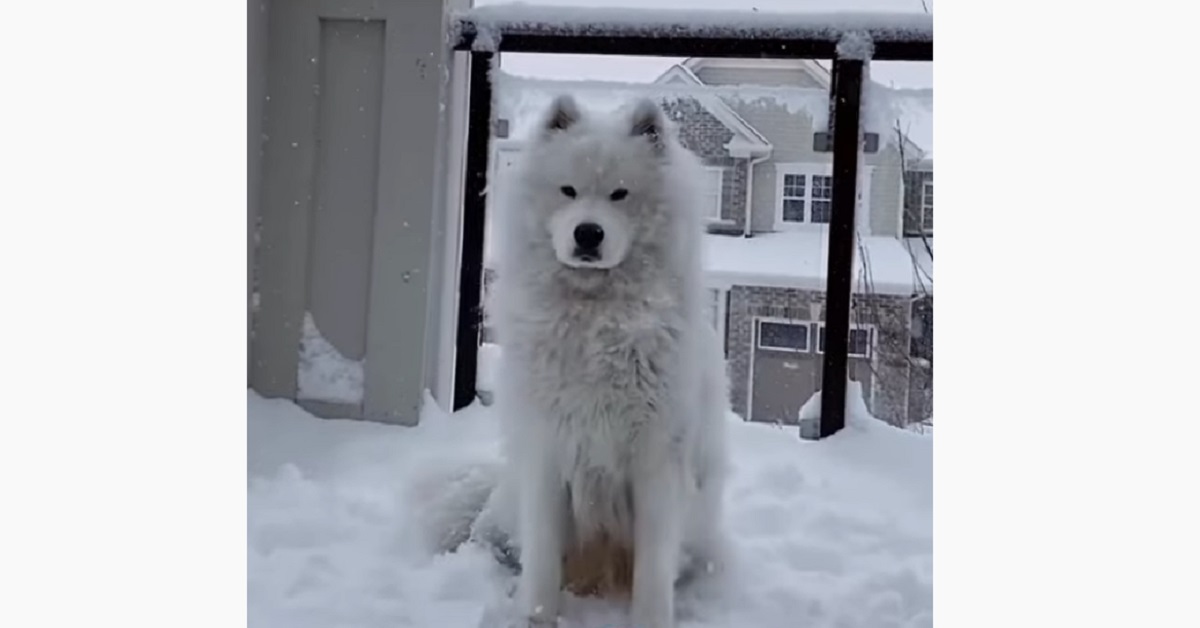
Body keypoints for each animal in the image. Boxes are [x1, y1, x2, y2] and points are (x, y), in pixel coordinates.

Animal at [427, 93, 734, 628]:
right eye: (567, 191)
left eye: (620, 194)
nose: (587, 234)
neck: (596, 321)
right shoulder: (548, 452)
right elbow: (543, 562)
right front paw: (536, 618)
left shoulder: (657, 461)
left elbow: (653, 572)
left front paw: (650, 621)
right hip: (509, 502)